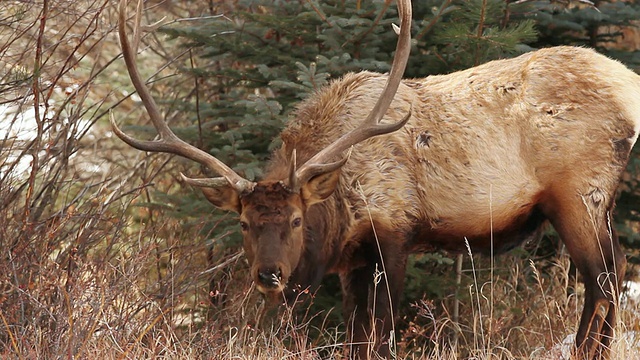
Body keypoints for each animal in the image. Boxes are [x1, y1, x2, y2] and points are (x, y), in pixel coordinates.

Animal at [114, 0, 640, 358]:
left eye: (298, 220)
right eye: (244, 223)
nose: (269, 275)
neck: (342, 209)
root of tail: (629, 86)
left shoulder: (394, 233)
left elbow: (382, 334)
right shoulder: (354, 261)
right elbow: (353, 336)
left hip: (579, 192)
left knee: (604, 277)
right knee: (613, 271)